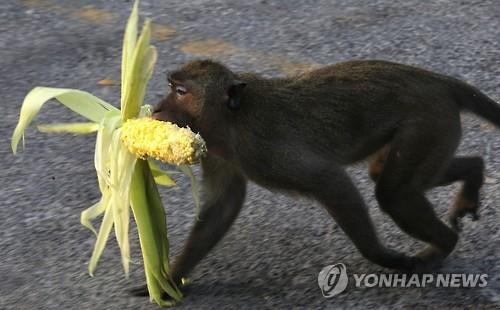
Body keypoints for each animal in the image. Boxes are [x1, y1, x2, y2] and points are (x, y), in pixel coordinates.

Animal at [132, 58, 496, 298]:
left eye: (180, 91)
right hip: (435, 127)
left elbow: (330, 181)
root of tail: (437, 80)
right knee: (389, 177)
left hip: (427, 121)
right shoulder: (219, 153)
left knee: (393, 194)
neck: (232, 120)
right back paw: (473, 172)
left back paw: (444, 244)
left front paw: (383, 256)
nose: (157, 109)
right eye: (171, 88)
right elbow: (222, 207)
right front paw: (169, 281)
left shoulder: (263, 151)